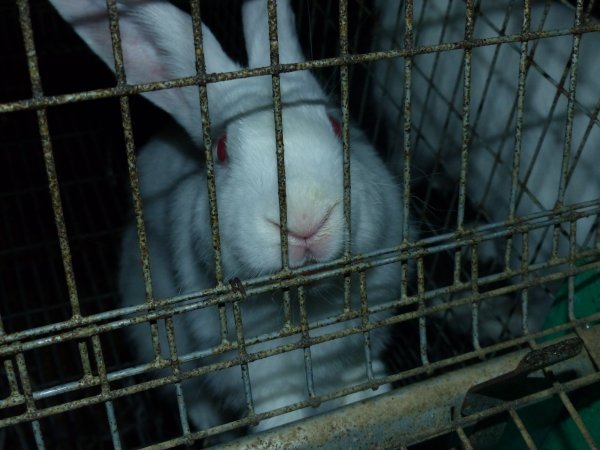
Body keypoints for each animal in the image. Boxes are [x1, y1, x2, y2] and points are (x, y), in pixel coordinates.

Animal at [50, 0, 408, 440]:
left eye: (338, 125)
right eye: (220, 150)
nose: (305, 223)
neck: (306, 306)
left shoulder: (360, 346)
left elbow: (361, 382)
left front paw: (377, 399)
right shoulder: (263, 380)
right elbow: (281, 415)